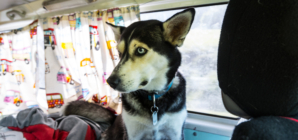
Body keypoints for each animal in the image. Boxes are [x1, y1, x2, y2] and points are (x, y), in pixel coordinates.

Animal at [64, 8, 196, 140]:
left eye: (140, 50)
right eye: (119, 52)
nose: (110, 82)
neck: (153, 96)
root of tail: (115, 119)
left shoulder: (175, 133)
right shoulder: (132, 134)